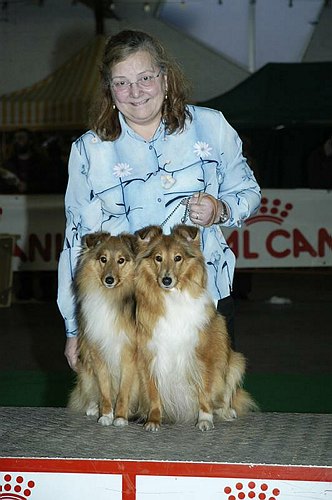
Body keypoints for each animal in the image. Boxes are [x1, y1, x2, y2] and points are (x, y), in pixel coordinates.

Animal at [68, 232, 139, 428]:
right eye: (103, 259)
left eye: (121, 260)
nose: (109, 280)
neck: (110, 297)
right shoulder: (97, 353)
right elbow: (104, 388)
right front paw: (106, 414)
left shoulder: (129, 355)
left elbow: (123, 391)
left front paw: (120, 417)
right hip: (85, 367)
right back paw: (93, 407)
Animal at [135, 225, 256, 432]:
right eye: (158, 258)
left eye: (178, 258)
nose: (166, 280)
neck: (172, 297)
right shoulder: (149, 356)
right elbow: (153, 392)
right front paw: (153, 420)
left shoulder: (204, 355)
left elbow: (205, 389)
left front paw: (205, 419)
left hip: (235, 362)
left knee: (225, 394)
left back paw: (226, 411)